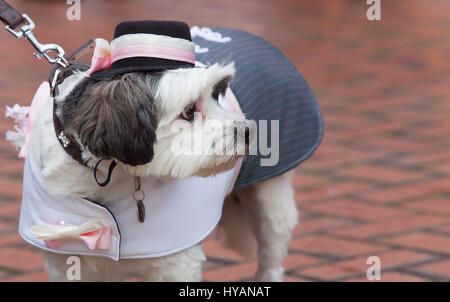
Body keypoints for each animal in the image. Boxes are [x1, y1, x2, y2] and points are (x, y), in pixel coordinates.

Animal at [5, 20, 322, 280]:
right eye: (189, 111)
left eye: (217, 94)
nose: (247, 131)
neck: (110, 176)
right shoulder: (66, 264)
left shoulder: (177, 264)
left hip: (273, 204)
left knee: (272, 256)